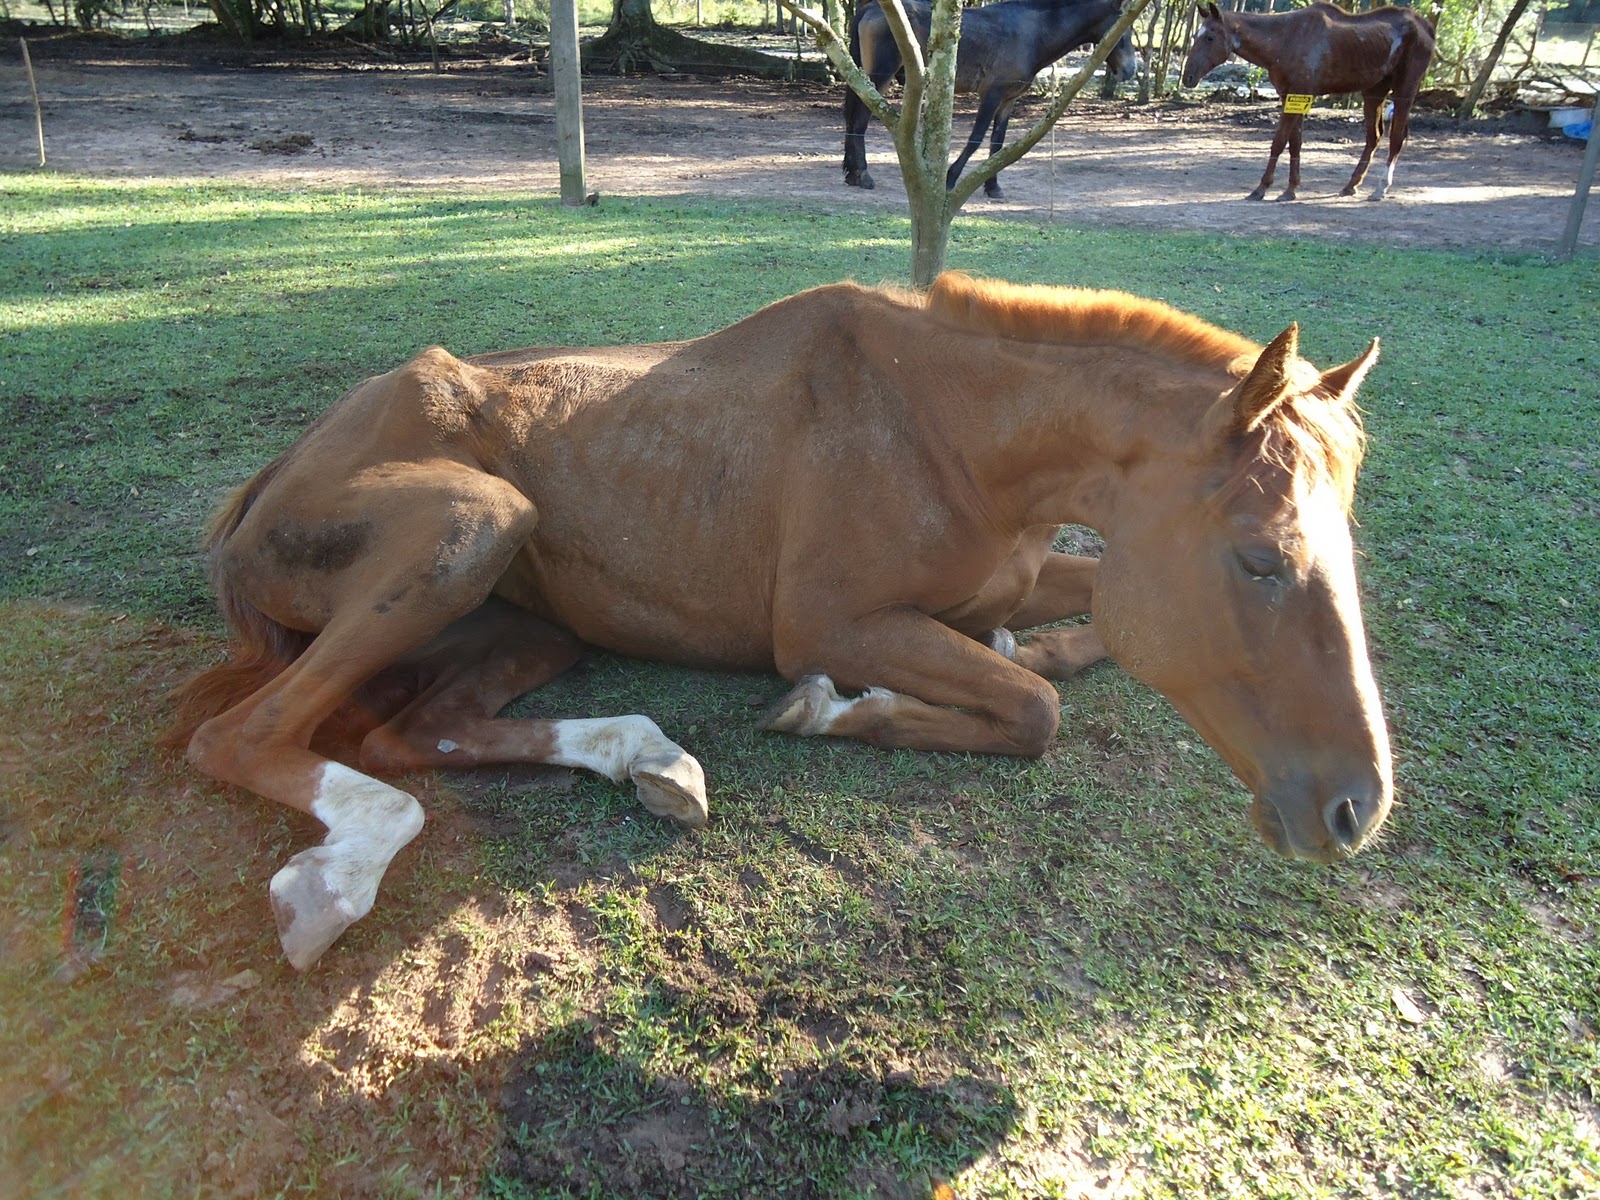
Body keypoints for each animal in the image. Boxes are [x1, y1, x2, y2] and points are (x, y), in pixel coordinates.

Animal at [838, 0, 1139, 200]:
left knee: (853, 120)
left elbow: (997, 145)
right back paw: (862, 174)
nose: (1130, 70)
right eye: (1123, 30)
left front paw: (992, 186)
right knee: (860, 121)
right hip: (879, 77)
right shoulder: (991, 96)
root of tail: (871, 8)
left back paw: (852, 173)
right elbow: (976, 140)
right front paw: (950, 178)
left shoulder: (1008, 101)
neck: (1034, 32)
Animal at [1177, 1, 1440, 203]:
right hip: (1374, 92)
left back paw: (1380, 188)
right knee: (1374, 137)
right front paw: (1290, 189)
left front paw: (1262, 188)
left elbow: (1279, 142)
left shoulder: (1299, 94)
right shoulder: (1292, 97)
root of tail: (1425, 25)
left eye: (1210, 37)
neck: (1285, 38)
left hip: (1404, 91)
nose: (1188, 77)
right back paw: (1351, 185)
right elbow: (1295, 143)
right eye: (1196, 35)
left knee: (1396, 138)